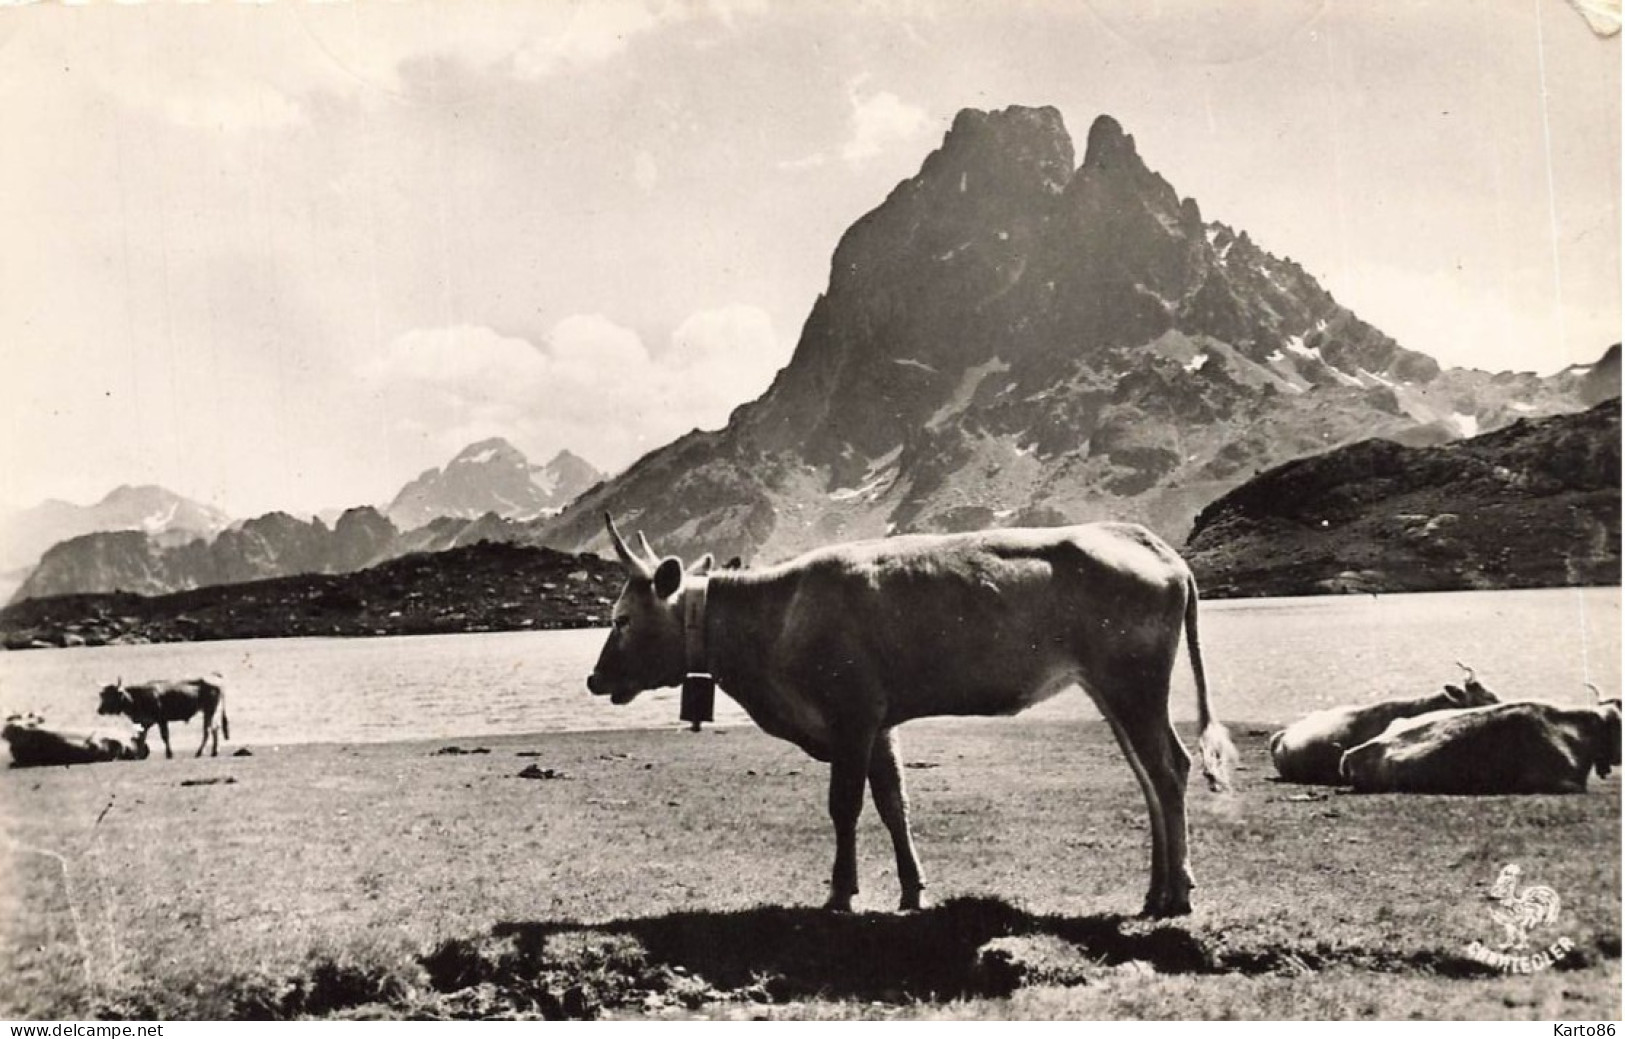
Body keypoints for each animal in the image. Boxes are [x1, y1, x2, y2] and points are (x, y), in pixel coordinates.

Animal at [591, 517, 1235, 917]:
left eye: (621, 619)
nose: (594, 680)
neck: (777, 618)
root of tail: (1152, 545)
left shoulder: (851, 714)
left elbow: (845, 805)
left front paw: (841, 893)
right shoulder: (880, 722)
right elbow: (893, 803)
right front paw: (911, 889)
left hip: (1134, 682)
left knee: (1168, 769)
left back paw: (1178, 894)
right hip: (1111, 689)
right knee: (1150, 775)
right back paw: (1155, 891)